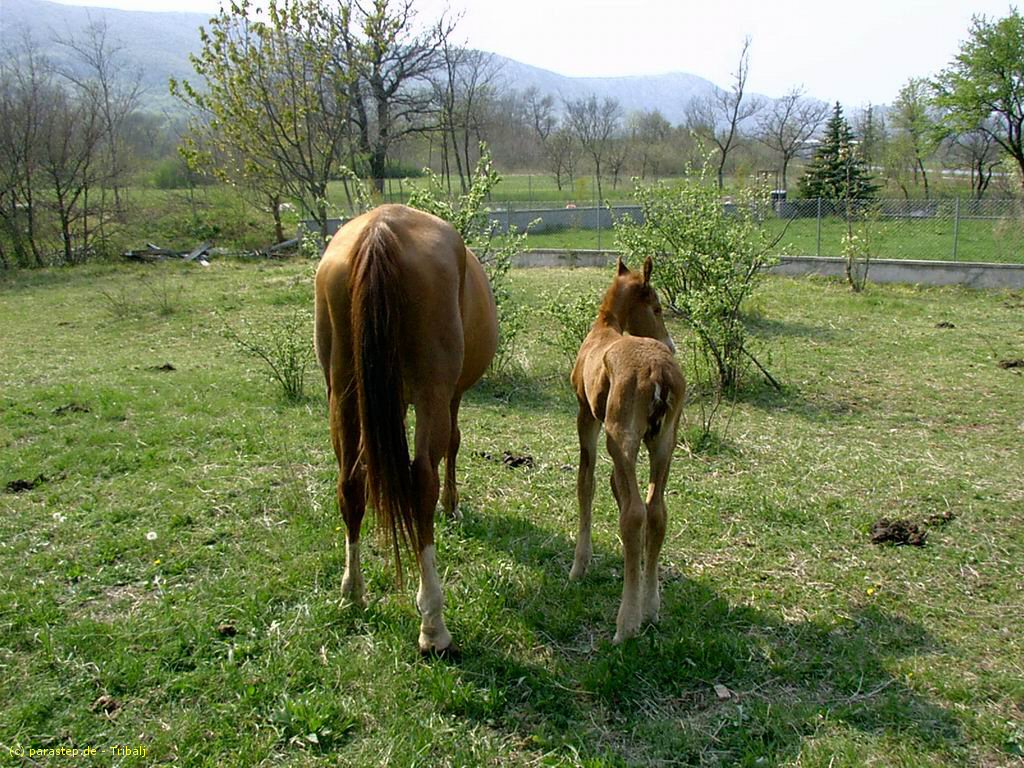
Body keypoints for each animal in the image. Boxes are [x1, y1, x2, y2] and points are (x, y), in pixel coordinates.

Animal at [314, 204, 497, 654]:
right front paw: (452, 505)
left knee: (350, 484)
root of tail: (380, 230)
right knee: (421, 483)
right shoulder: (451, 395)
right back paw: (433, 625)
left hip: (342, 391)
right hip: (431, 394)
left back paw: (353, 593)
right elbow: (454, 444)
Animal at [570, 256, 685, 643]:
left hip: (621, 436)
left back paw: (627, 622)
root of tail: (660, 372)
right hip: (664, 442)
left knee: (634, 513)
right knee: (657, 510)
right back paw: (650, 607)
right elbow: (613, 487)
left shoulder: (586, 416)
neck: (606, 330)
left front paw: (579, 565)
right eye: (657, 308)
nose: (670, 342)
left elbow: (586, 483)